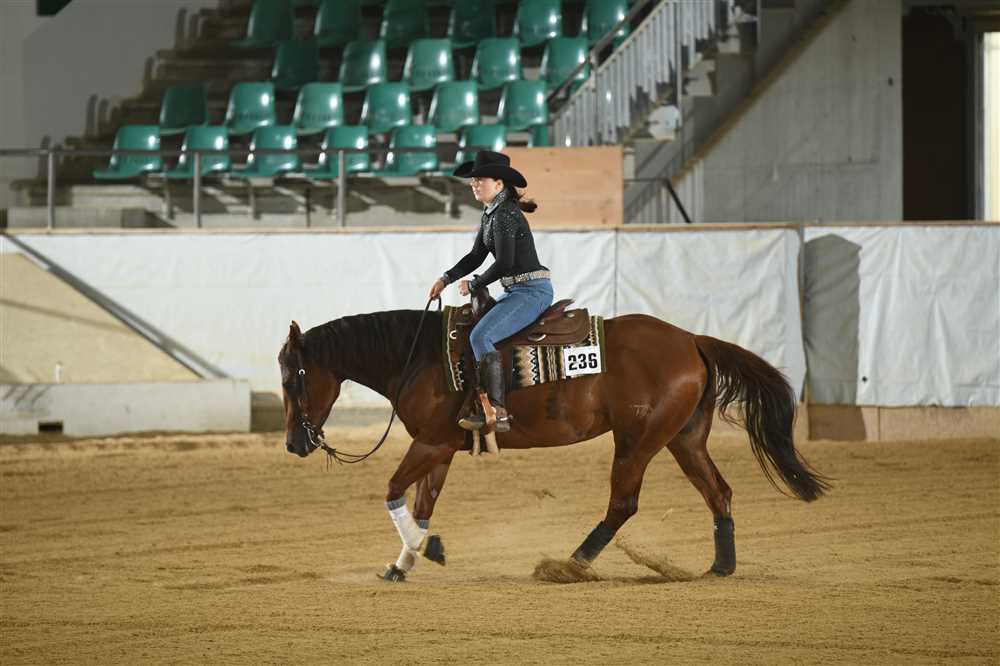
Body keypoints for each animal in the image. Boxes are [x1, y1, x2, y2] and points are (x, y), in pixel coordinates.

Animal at [277, 306, 828, 582]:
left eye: (293, 378)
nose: (294, 444)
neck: (421, 355)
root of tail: (691, 339)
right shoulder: (440, 448)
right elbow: (423, 504)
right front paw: (404, 563)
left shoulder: (431, 444)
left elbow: (393, 492)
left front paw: (423, 550)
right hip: (684, 439)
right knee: (719, 493)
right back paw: (720, 566)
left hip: (638, 441)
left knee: (623, 503)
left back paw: (571, 564)